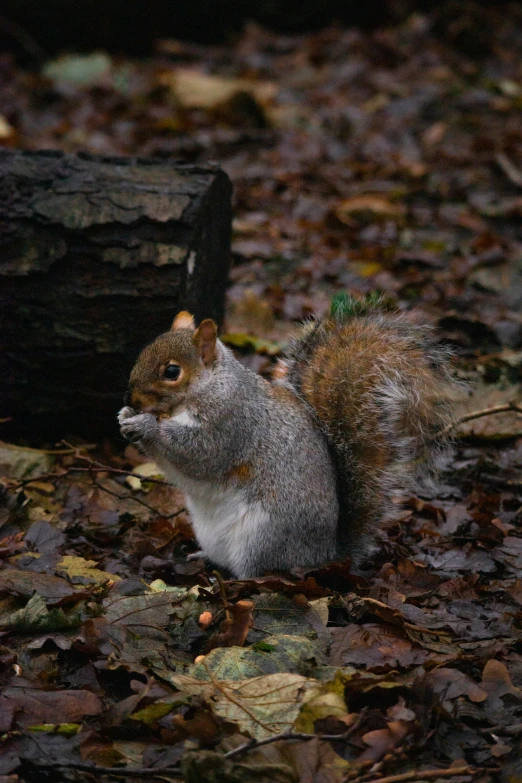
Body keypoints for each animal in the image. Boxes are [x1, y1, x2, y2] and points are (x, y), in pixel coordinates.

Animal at [117, 298, 460, 580]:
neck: (207, 387)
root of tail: (327, 555)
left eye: (172, 372)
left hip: (263, 536)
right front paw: (125, 417)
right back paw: (203, 557)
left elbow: (200, 455)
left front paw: (146, 425)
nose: (131, 398)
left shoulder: (230, 423)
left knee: (260, 570)